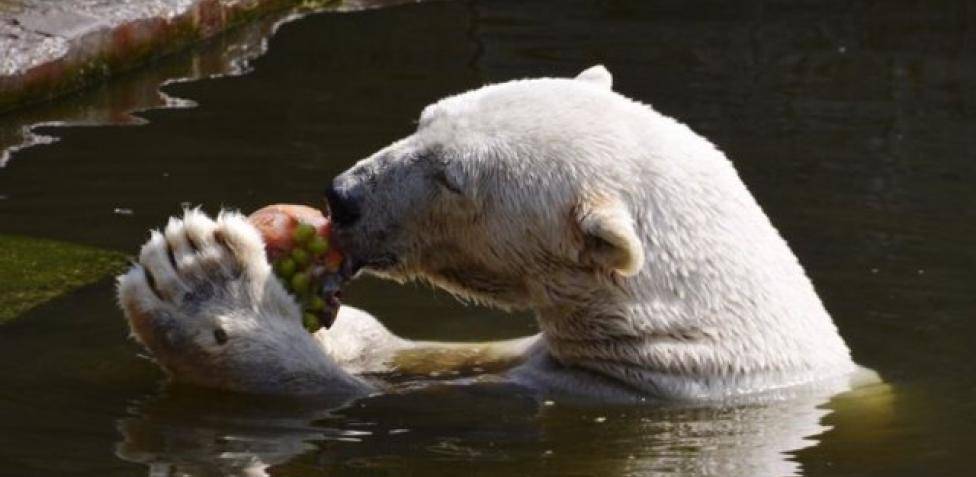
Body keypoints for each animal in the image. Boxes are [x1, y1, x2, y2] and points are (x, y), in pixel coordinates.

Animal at [118, 66, 872, 402]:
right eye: (426, 117)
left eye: (452, 178)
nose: (343, 197)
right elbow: (417, 353)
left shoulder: (606, 390)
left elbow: (341, 393)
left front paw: (200, 281)